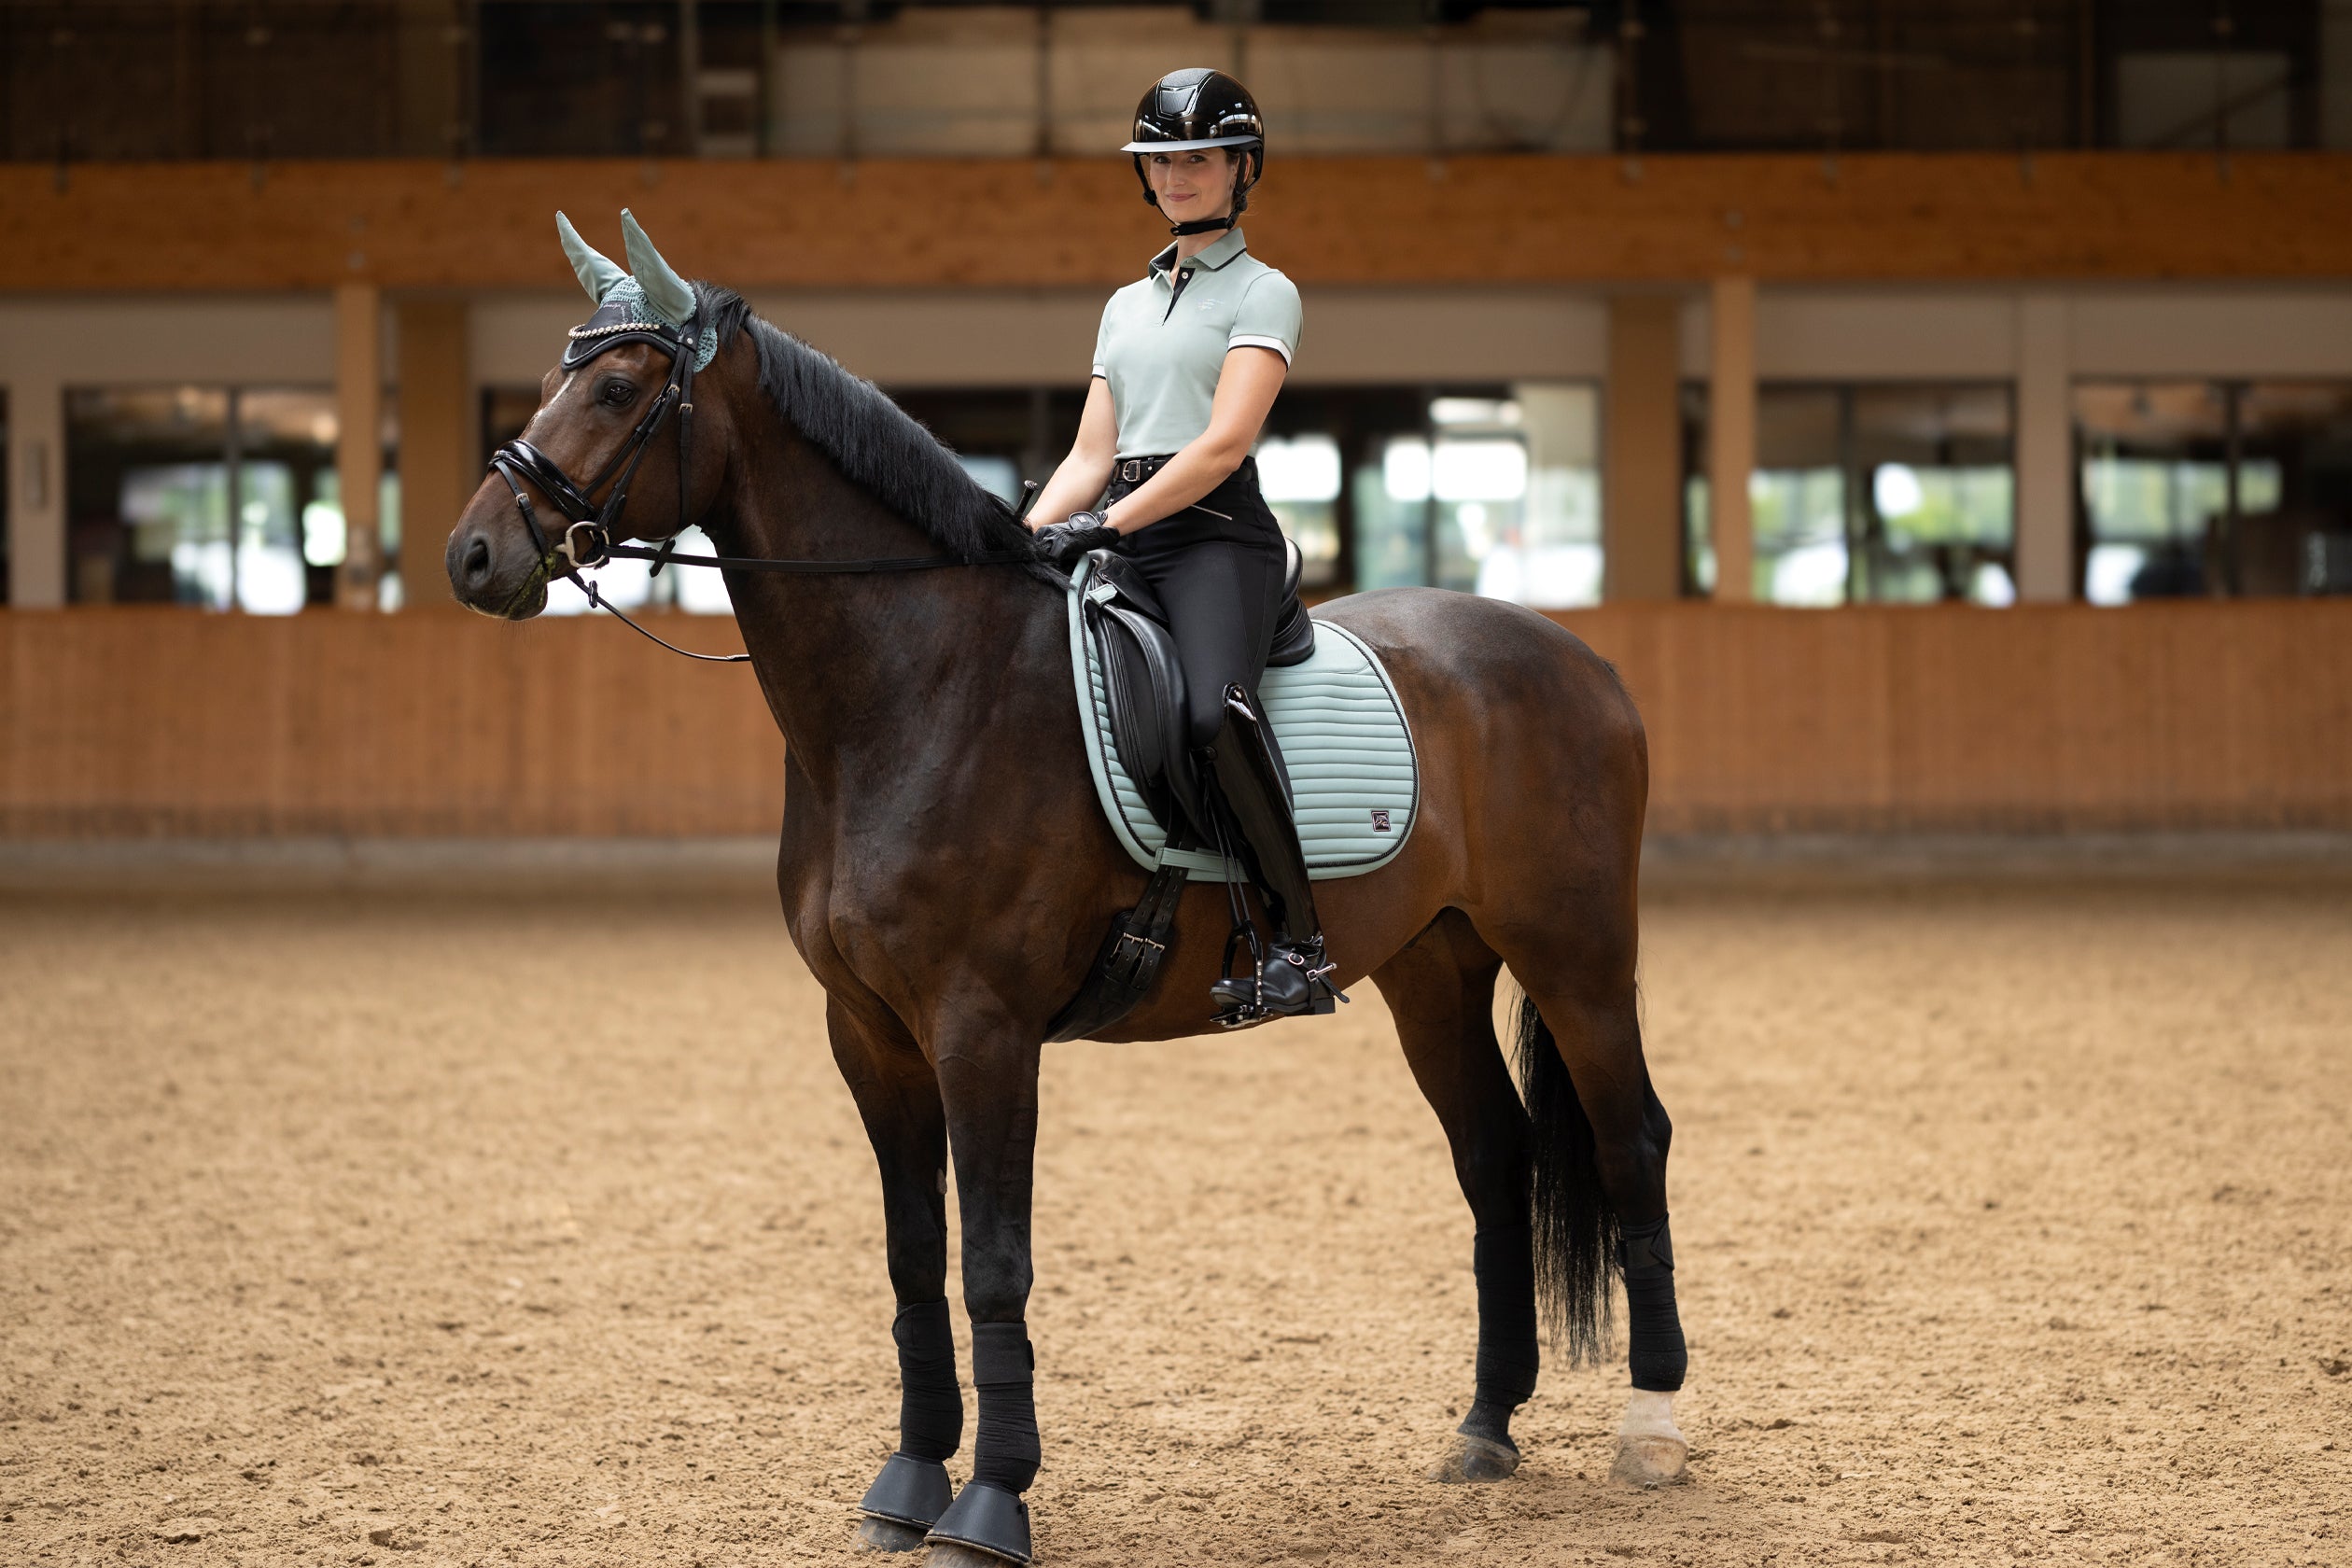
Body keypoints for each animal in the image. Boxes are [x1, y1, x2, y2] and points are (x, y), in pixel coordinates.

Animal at [442, 214, 1689, 1566]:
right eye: (552, 378)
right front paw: (908, 1482)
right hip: (1435, 965)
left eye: (619, 390)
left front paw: (991, 1503)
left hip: (1576, 955)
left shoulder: (981, 1028)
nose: (472, 555)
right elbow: (911, 1257)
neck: (918, 687)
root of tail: (1581, 659)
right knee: (1494, 1156)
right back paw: (1484, 1429)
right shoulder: (867, 1032)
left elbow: (994, 1263)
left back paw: (1653, 1430)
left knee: (1631, 1139)